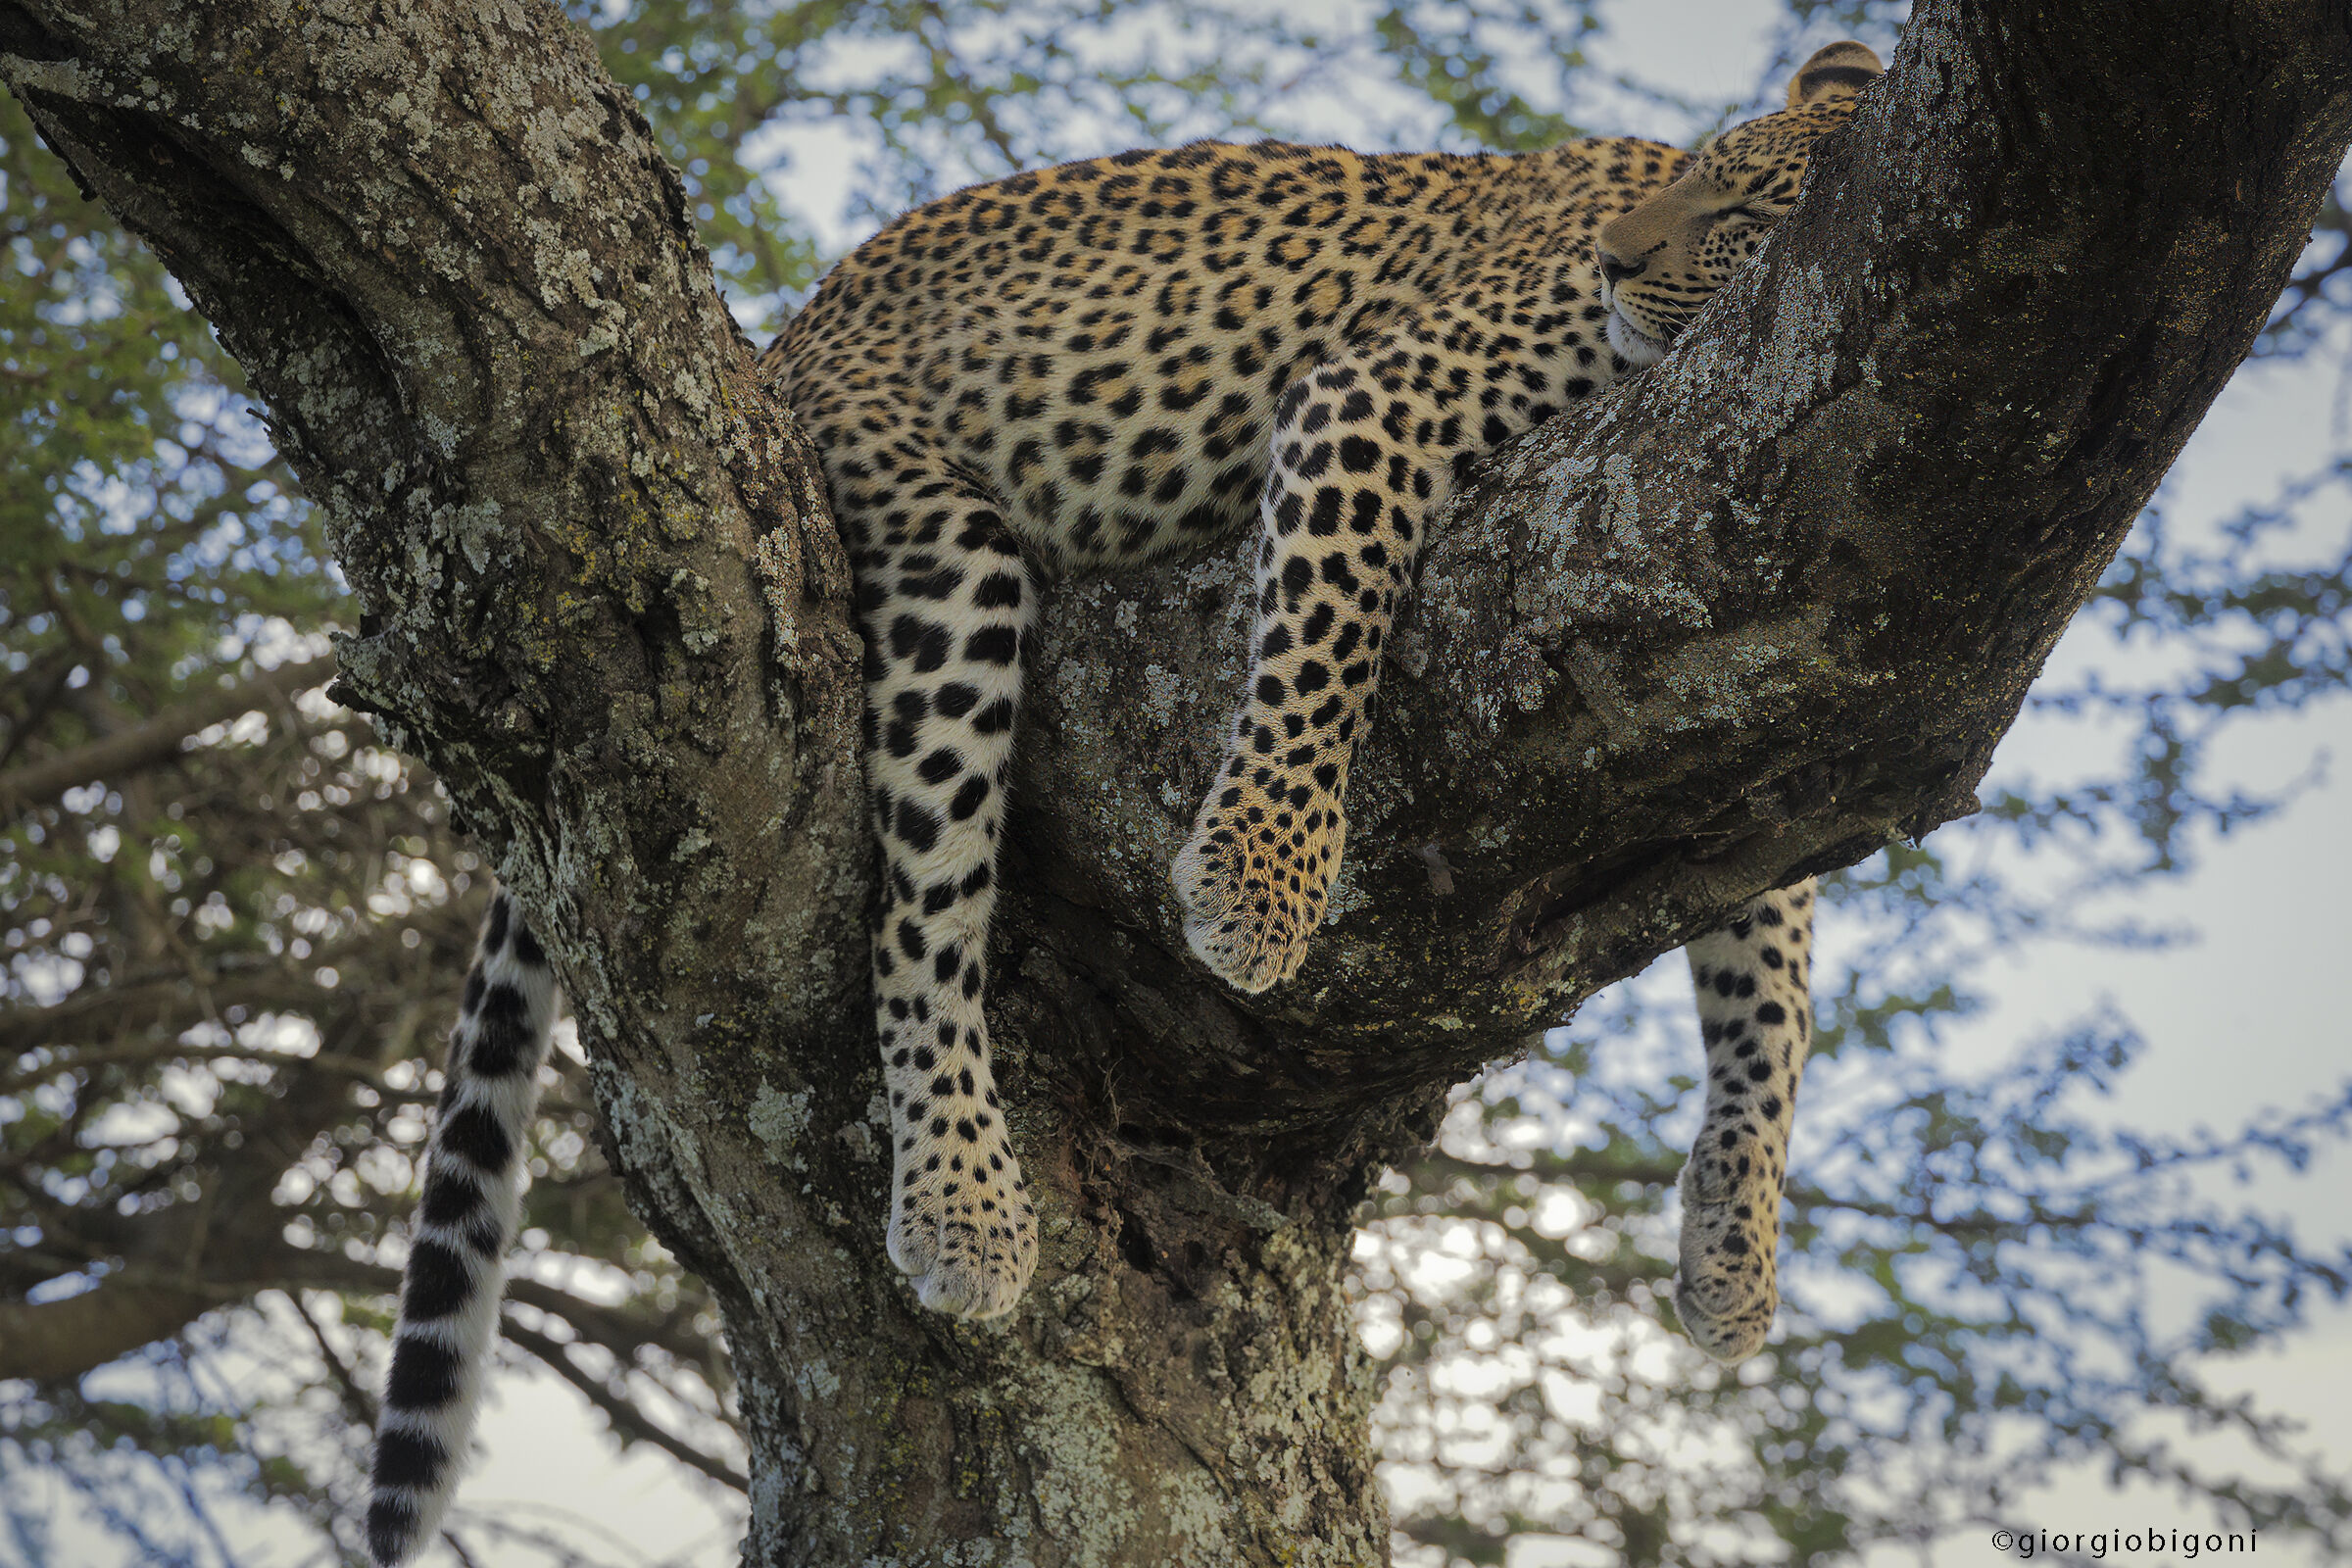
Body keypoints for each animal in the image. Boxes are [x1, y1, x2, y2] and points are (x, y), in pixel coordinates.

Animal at [366, 41, 1880, 1565]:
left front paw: (1735, 1249)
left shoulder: (1731, 640)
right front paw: (1261, 879)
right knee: (922, 912)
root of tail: (783, 338)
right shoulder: (1373, 395)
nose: (1616, 261)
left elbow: (1775, 989)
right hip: (945, 548)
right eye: (1693, 181)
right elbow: (1327, 632)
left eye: (1747, 209)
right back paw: (964, 1199)